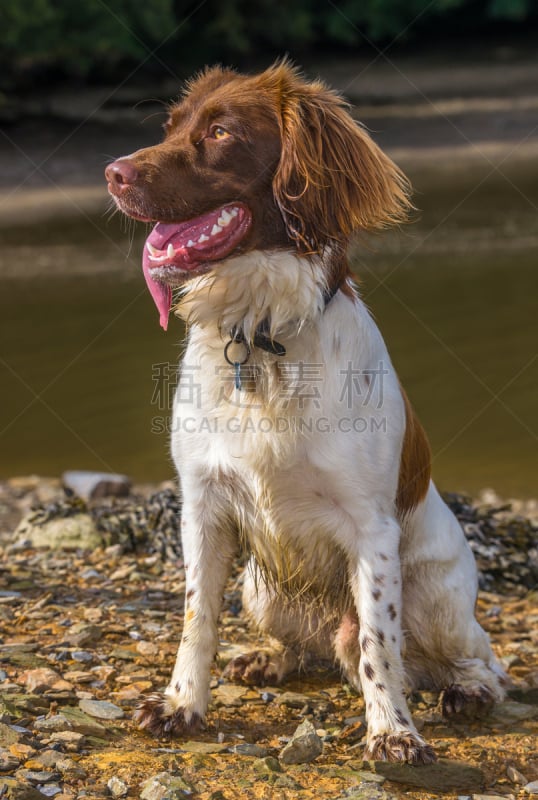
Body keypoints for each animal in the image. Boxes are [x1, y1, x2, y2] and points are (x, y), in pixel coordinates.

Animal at [105, 61, 506, 764]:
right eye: (171, 127)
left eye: (220, 133)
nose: (113, 173)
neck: (260, 334)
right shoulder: (203, 505)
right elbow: (196, 618)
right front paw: (182, 705)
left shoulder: (372, 530)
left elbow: (378, 640)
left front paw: (392, 732)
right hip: (260, 589)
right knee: (309, 646)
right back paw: (271, 657)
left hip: (439, 596)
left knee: (477, 660)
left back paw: (468, 691)